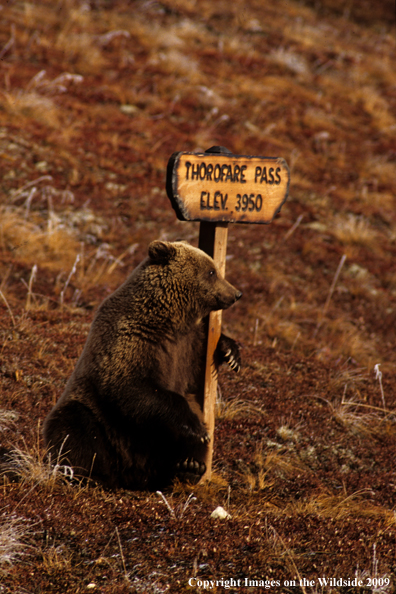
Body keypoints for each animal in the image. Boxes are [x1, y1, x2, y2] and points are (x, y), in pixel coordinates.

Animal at [43, 238, 241, 488]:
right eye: (212, 271)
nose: (236, 293)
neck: (169, 318)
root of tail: (132, 471)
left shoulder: (187, 344)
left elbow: (198, 368)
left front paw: (231, 353)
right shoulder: (133, 337)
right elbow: (130, 385)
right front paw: (196, 428)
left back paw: (189, 467)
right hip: (103, 422)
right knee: (74, 427)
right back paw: (90, 475)